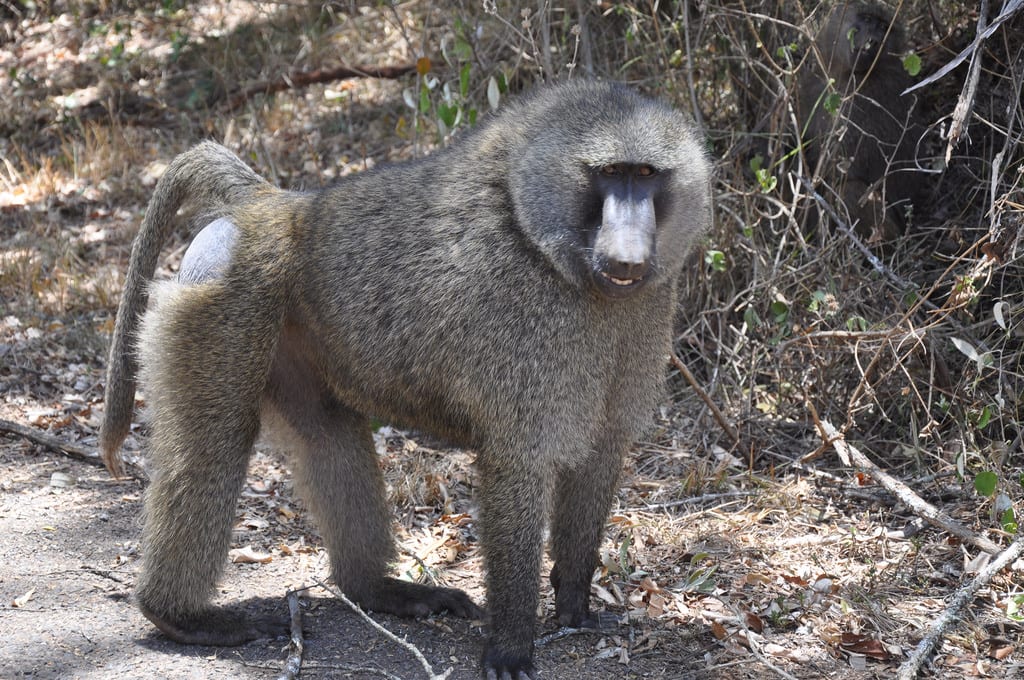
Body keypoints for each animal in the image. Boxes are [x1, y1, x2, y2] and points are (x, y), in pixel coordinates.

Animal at [99, 80, 711, 678]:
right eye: (609, 174)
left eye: (646, 175)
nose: (628, 257)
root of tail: (270, 207)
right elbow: (519, 465)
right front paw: (510, 646)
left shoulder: (640, 318)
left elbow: (601, 453)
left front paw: (576, 606)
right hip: (228, 300)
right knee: (214, 443)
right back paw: (181, 616)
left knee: (327, 434)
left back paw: (377, 591)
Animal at [798, 1, 924, 242]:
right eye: (866, 19)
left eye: (884, 27)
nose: (872, 40)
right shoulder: (813, 84)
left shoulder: (859, 99)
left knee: (849, 190)